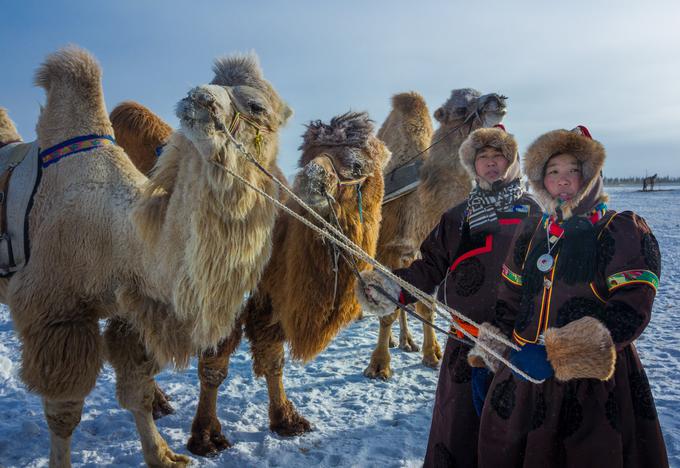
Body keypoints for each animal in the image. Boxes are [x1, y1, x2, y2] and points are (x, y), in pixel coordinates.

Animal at [0, 45, 290, 466]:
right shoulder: (56, 311)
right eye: (214, 84)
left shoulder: (131, 311)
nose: (198, 97)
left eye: (256, 104)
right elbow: (64, 412)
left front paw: (164, 455)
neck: (119, 238)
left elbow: (138, 389)